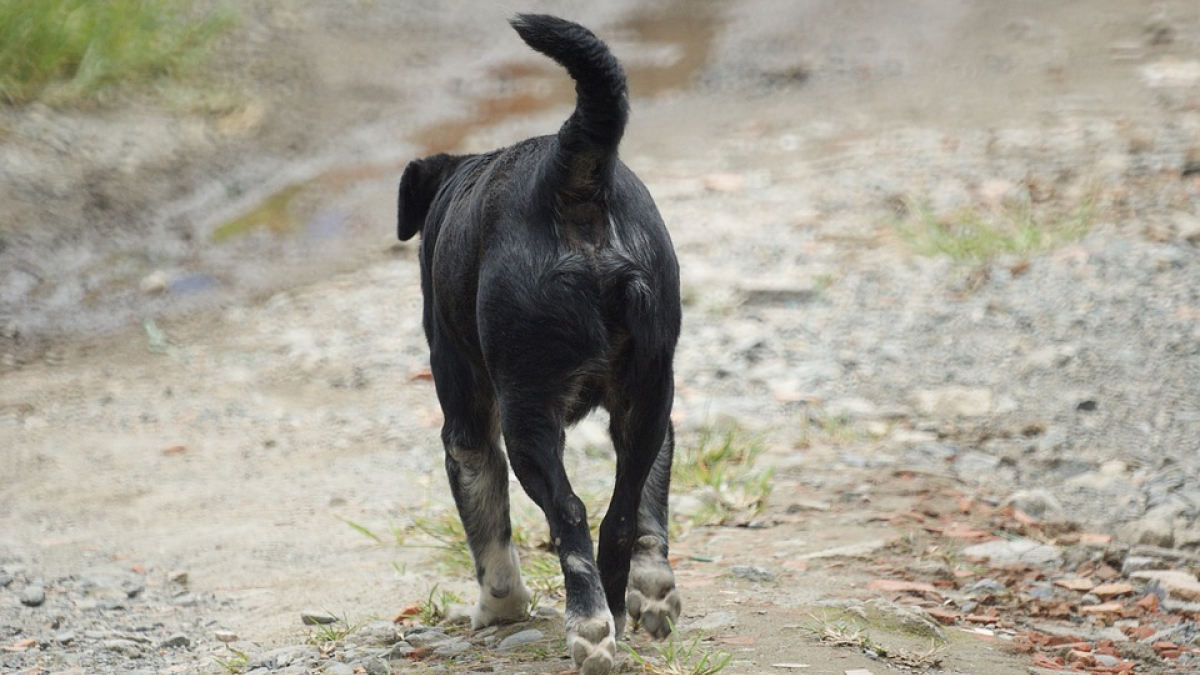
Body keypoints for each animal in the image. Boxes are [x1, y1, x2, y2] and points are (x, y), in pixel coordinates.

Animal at [400, 11, 681, 672]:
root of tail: (571, 176)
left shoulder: (468, 428)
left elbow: (488, 532)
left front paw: (498, 608)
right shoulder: (659, 411)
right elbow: (650, 505)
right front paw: (653, 590)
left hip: (526, 416)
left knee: (570, 512)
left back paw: (590, 628)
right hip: (647, 391)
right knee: (619, 513)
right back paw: (615, 612)